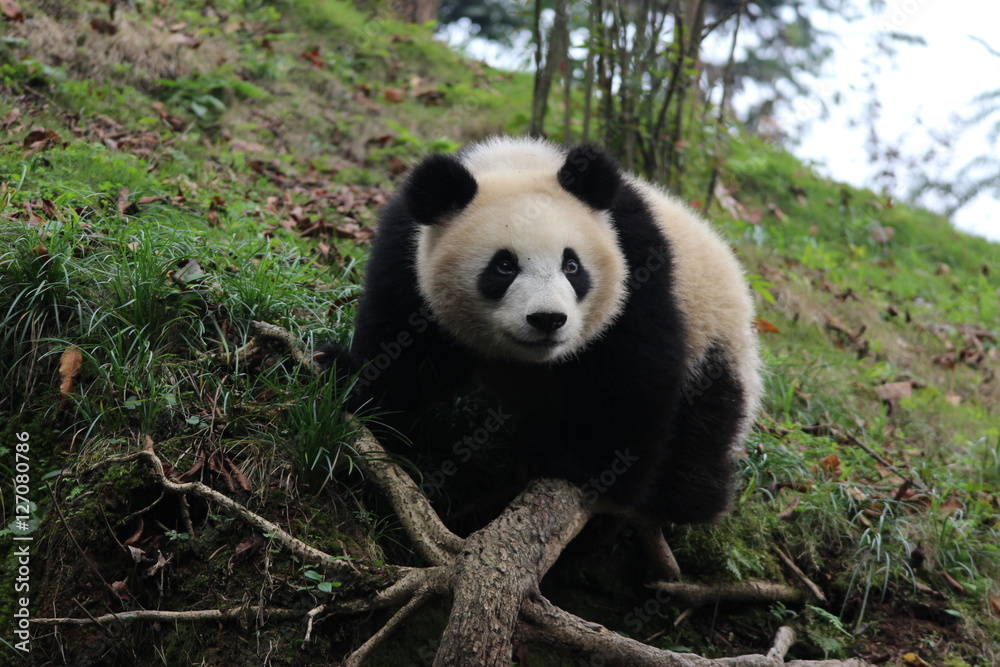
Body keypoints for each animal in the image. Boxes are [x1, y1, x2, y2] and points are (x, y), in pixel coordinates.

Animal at [331, 136, 762, 526]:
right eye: (504, 266)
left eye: (571, 266)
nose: (547, 319)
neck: (517, 165)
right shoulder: (407, 249)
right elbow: (402, 341)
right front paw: (346, 380)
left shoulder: (637, 263)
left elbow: (635, 373)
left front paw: (581, 463)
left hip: (714, 340)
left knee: (705, 426)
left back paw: (684, 494)